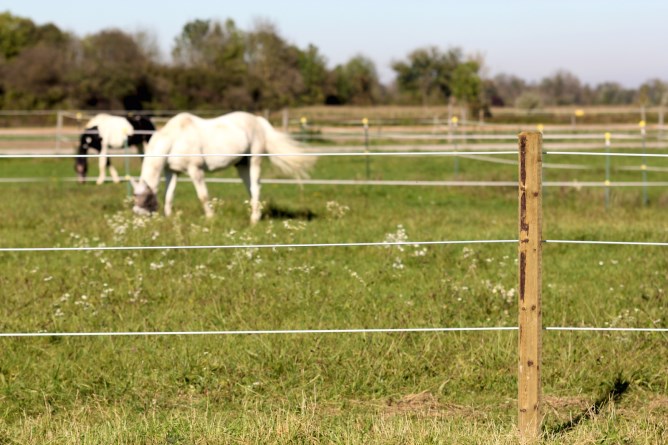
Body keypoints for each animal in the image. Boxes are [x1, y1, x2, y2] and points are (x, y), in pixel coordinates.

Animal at [132, 111, 316, 222]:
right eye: (135, 197)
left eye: (145, 199)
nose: (139, 217)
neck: (175, 138)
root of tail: (258, 121)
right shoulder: (172, 172)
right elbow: (168, 196)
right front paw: (169, 218)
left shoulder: (195, 170)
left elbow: (203, 196)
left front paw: (210, 218)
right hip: (242, 165)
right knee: (251, 188)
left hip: (254, 160)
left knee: (256, 188)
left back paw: (254, 219)